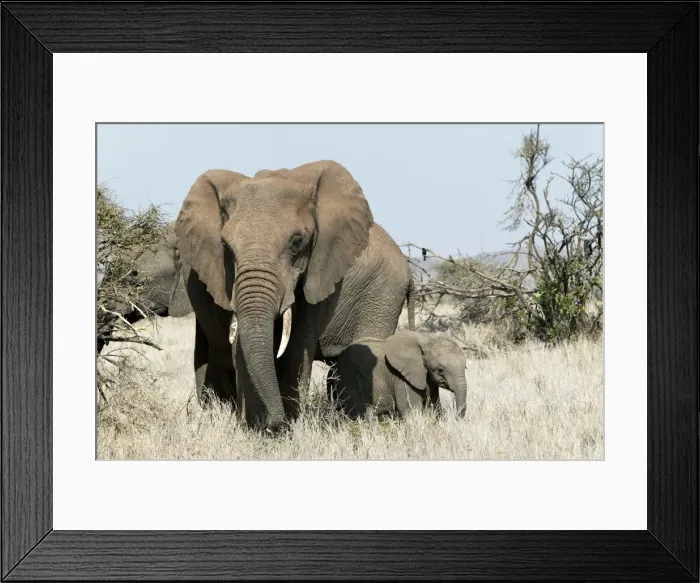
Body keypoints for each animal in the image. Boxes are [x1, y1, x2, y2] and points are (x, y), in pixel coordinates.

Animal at [174, 160, 415, 431]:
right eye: (225, 246)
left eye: (297, 242)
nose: (274, 422)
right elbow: (240, 346)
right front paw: (259, 429)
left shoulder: (320, 271)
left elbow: (297, 347)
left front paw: (284, 428)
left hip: (383, 296)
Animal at [328, 330, 468, 419]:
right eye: (440, 370)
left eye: (465, 367)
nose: (456, 418)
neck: (427, 340)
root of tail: (334, 365)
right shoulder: (401, 378)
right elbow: (411, 409)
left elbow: (434, 407)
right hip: (348, 378)